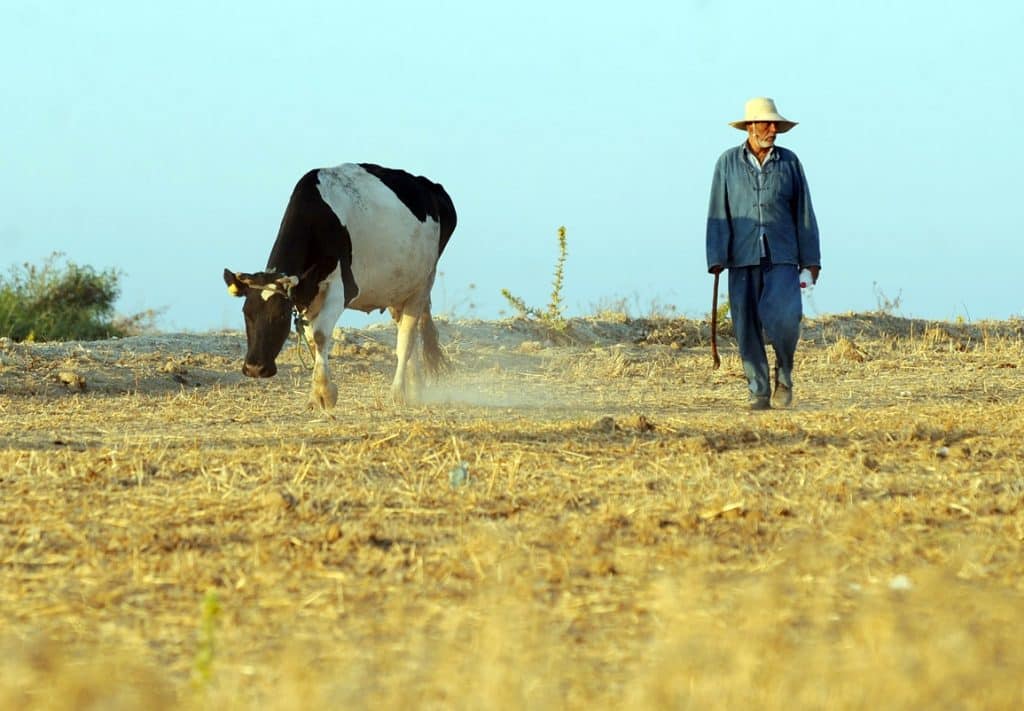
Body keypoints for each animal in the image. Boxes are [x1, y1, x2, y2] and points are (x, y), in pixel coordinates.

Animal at [223, 160, 456, 405]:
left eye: (280, 315)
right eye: (246, 313)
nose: (254, 368)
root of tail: (430, 186)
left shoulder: (341, 289)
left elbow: (320, 334)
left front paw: (323, 393)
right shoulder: (308, 292)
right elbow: (311, 338)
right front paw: (318, 392)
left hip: (422, 284)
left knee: (407, 339)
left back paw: (398, 392)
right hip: (397, 289)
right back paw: (415, 386)